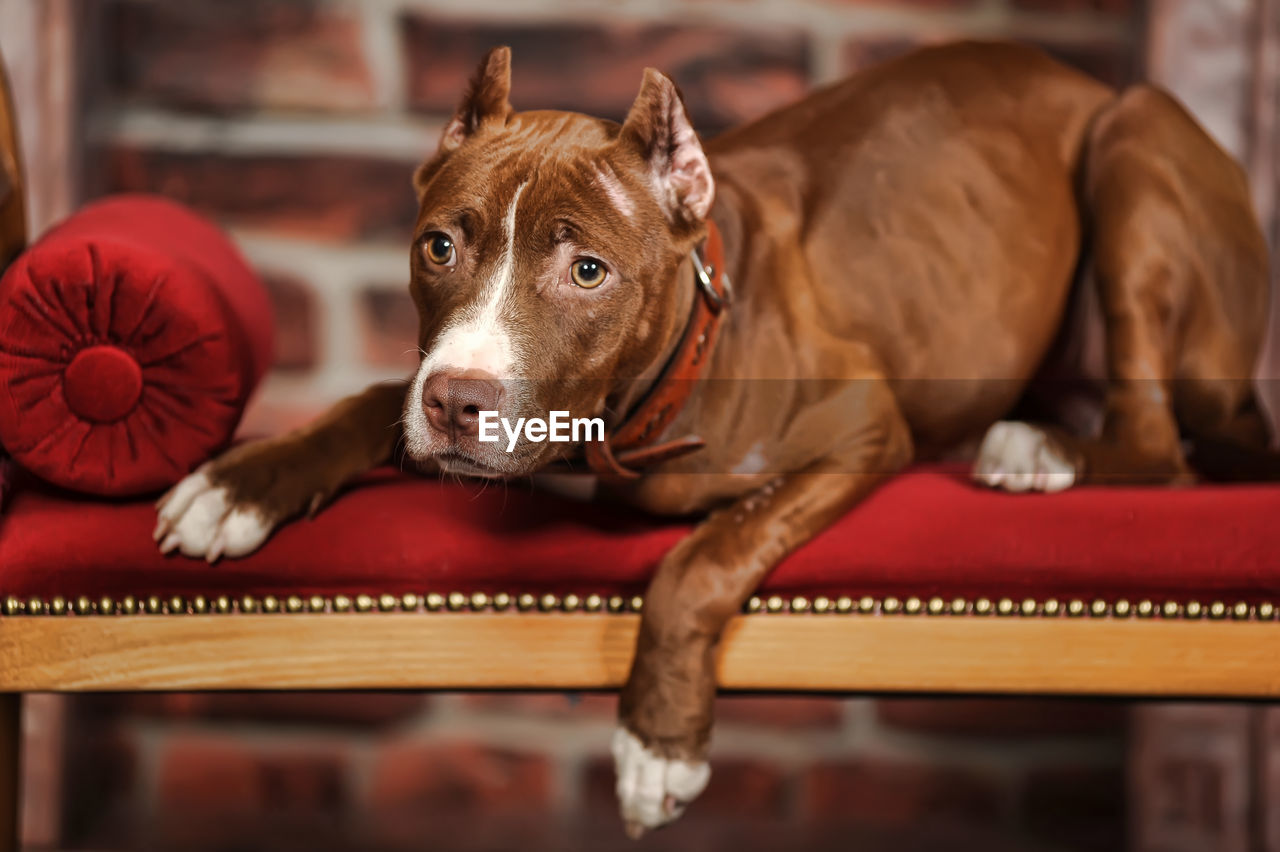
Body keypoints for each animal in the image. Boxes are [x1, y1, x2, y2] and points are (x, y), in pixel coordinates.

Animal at [149, 43, 1269, 834]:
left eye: (587, 271)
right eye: (437, 246)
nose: (458, 402)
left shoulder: (862, 432)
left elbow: (703, 556)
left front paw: (657, 744)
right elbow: (372, 397)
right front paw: (240, 482)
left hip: (1130, 150)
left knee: (1159, 444)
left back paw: (1039, 449)